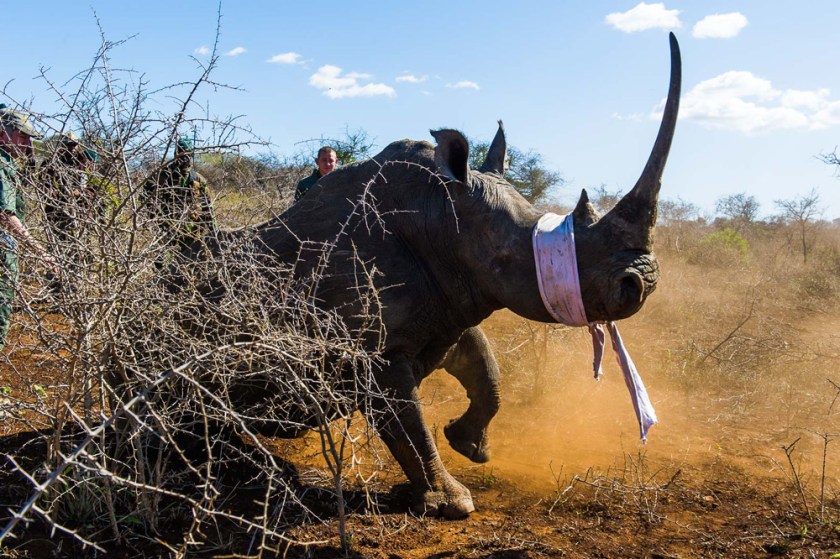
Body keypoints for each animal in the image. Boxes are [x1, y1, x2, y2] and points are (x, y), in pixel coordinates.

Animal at [179, 33, 681, 519]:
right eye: (520, 253)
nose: (642, 283)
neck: (441, 216)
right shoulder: (376, 350)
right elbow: (408, 425)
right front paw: (451, 504)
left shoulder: (452, 303)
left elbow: (487, 373)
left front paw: (471, 447)